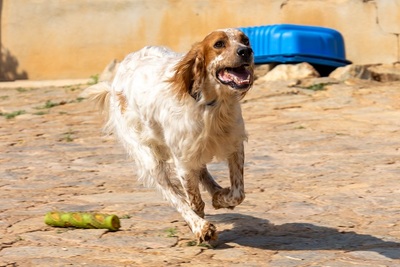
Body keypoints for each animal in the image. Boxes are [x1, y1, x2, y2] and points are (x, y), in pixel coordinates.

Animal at [83, 28, 255, 244]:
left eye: (245, 40)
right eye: (218, 44)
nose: (246, 51)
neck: (212, 107)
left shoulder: (234, 144)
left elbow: (238, 193)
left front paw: (220, 198)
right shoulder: (182, 161)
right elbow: (193, 201)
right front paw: (200, 225)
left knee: (201, 172)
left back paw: (216, 192)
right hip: (150, 159)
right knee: (173, 194)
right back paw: (197, 221)